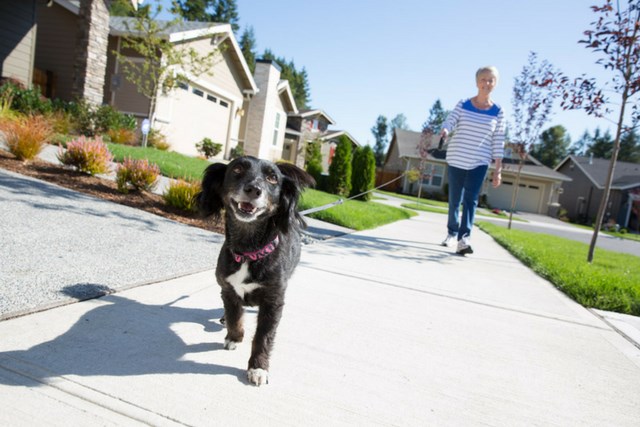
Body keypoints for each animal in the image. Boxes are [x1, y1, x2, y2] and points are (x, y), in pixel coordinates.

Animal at [196, 155, 314, 386]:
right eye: (237, 169)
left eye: (272, 178)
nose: (254, 189)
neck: (249, 252)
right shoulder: (228, 290)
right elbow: (234, 317)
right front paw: (234, 337)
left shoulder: (273, 301)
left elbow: (263, 337)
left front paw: (258, 368)